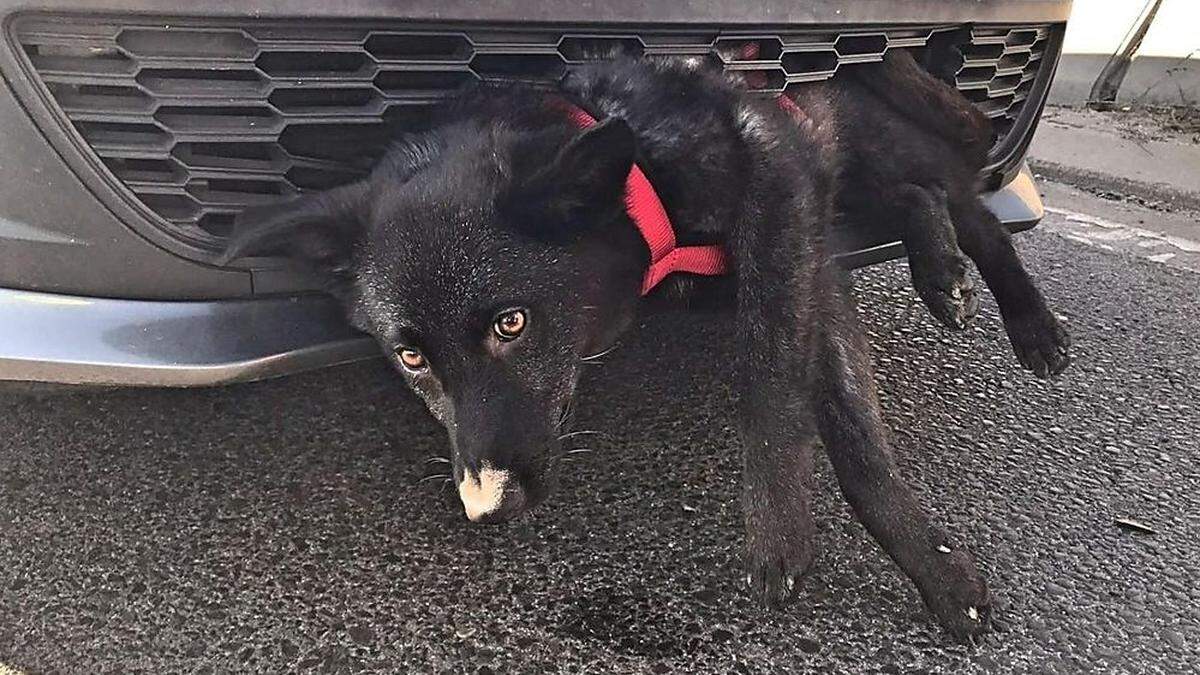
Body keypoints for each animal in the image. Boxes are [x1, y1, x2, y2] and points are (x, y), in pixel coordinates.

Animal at [225, 56, 993, 634]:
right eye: (412, 358)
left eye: (511, 324)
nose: (487, 508)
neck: (642, 169)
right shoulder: (805, 252)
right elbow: (830, 394)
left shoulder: (785, 191)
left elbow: (787, 383)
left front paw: (803, 531)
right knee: (925, 189)